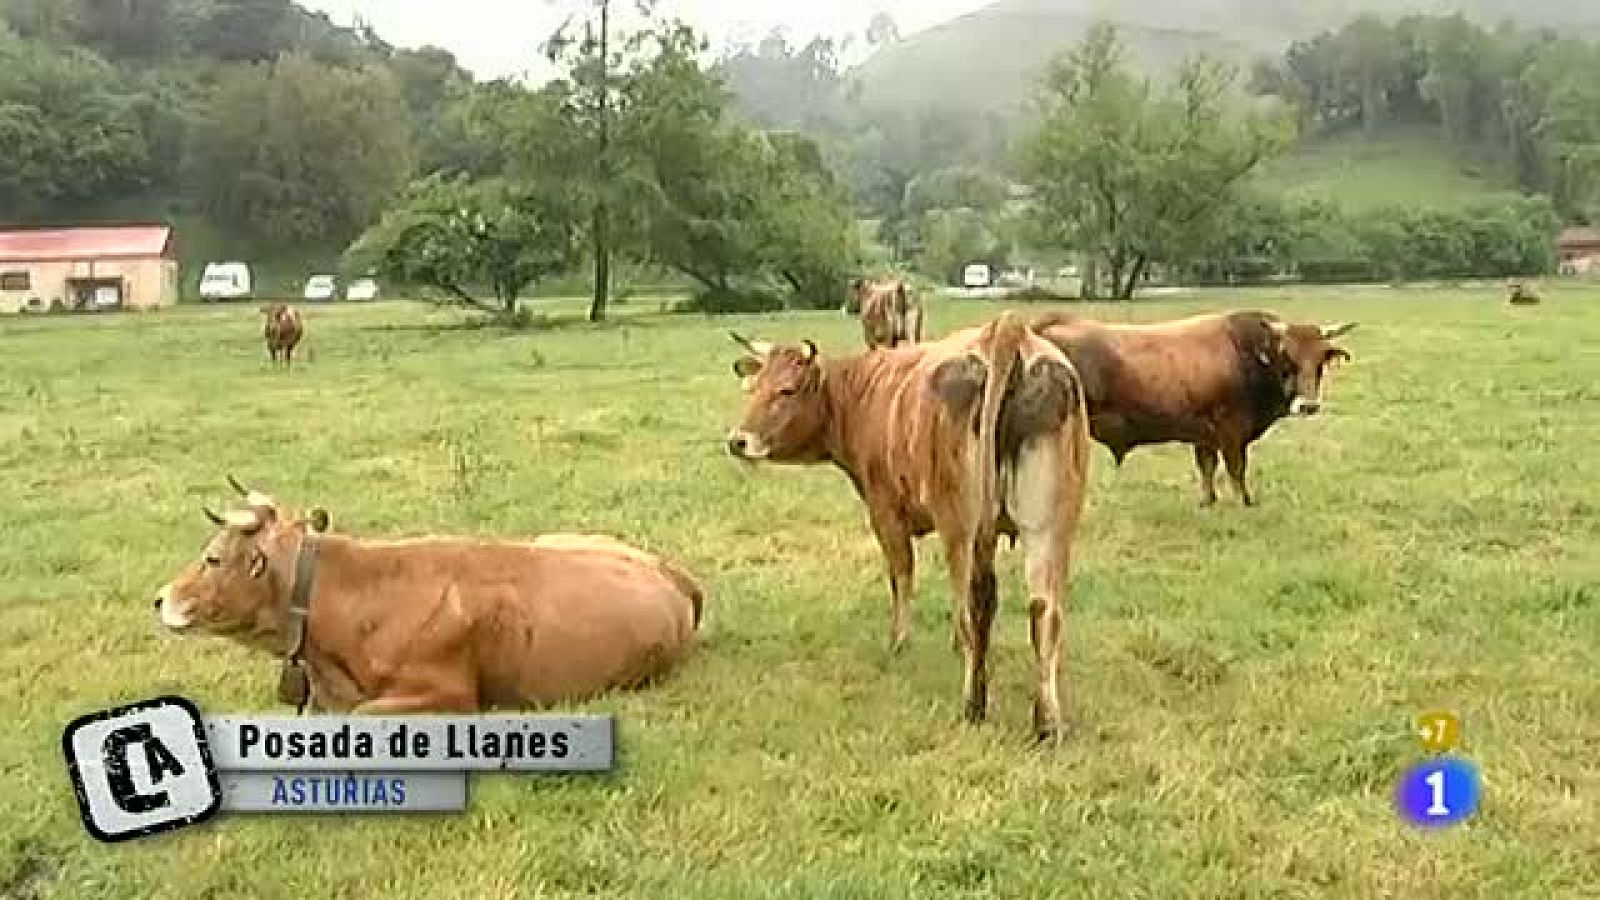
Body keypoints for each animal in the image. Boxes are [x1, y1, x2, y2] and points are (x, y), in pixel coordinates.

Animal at [723, 312, 1088, 739]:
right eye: (753, 387)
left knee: (973, 605)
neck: (862, 393)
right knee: (1044, 612)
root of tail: (1006, 328)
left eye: (787, 389)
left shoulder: (885, 513)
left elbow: (901, 576)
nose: (738, 441)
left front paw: (899, 643)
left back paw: (973, 705)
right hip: (1050, 528)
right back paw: (1047, 723)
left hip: (961, 528)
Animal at [1030, 307, 1356, 506]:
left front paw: (1208, 502)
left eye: (1321, 359)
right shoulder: (1231, 431)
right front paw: (1244, 503)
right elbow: (1236, 469)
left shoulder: (1205, 434)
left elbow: (1207, 467)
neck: (1245, 353)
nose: (1308, 405)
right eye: (1287, 357)